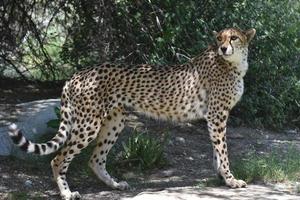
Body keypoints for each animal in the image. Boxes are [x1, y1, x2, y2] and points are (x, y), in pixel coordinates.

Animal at [7, 27, 255, 199]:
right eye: (219, 39)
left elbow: (217, 150)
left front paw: (221, 177)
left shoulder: (214, 116)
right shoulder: (217, 114)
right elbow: (223, 150)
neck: (233, 63)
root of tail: (76, 75)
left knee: (95, 159)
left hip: (115, 120)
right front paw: (231, 180)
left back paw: (115, 185)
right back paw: (67, 193)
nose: (223, 48)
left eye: (233, 38)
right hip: (88, 124)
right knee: (58, 159)